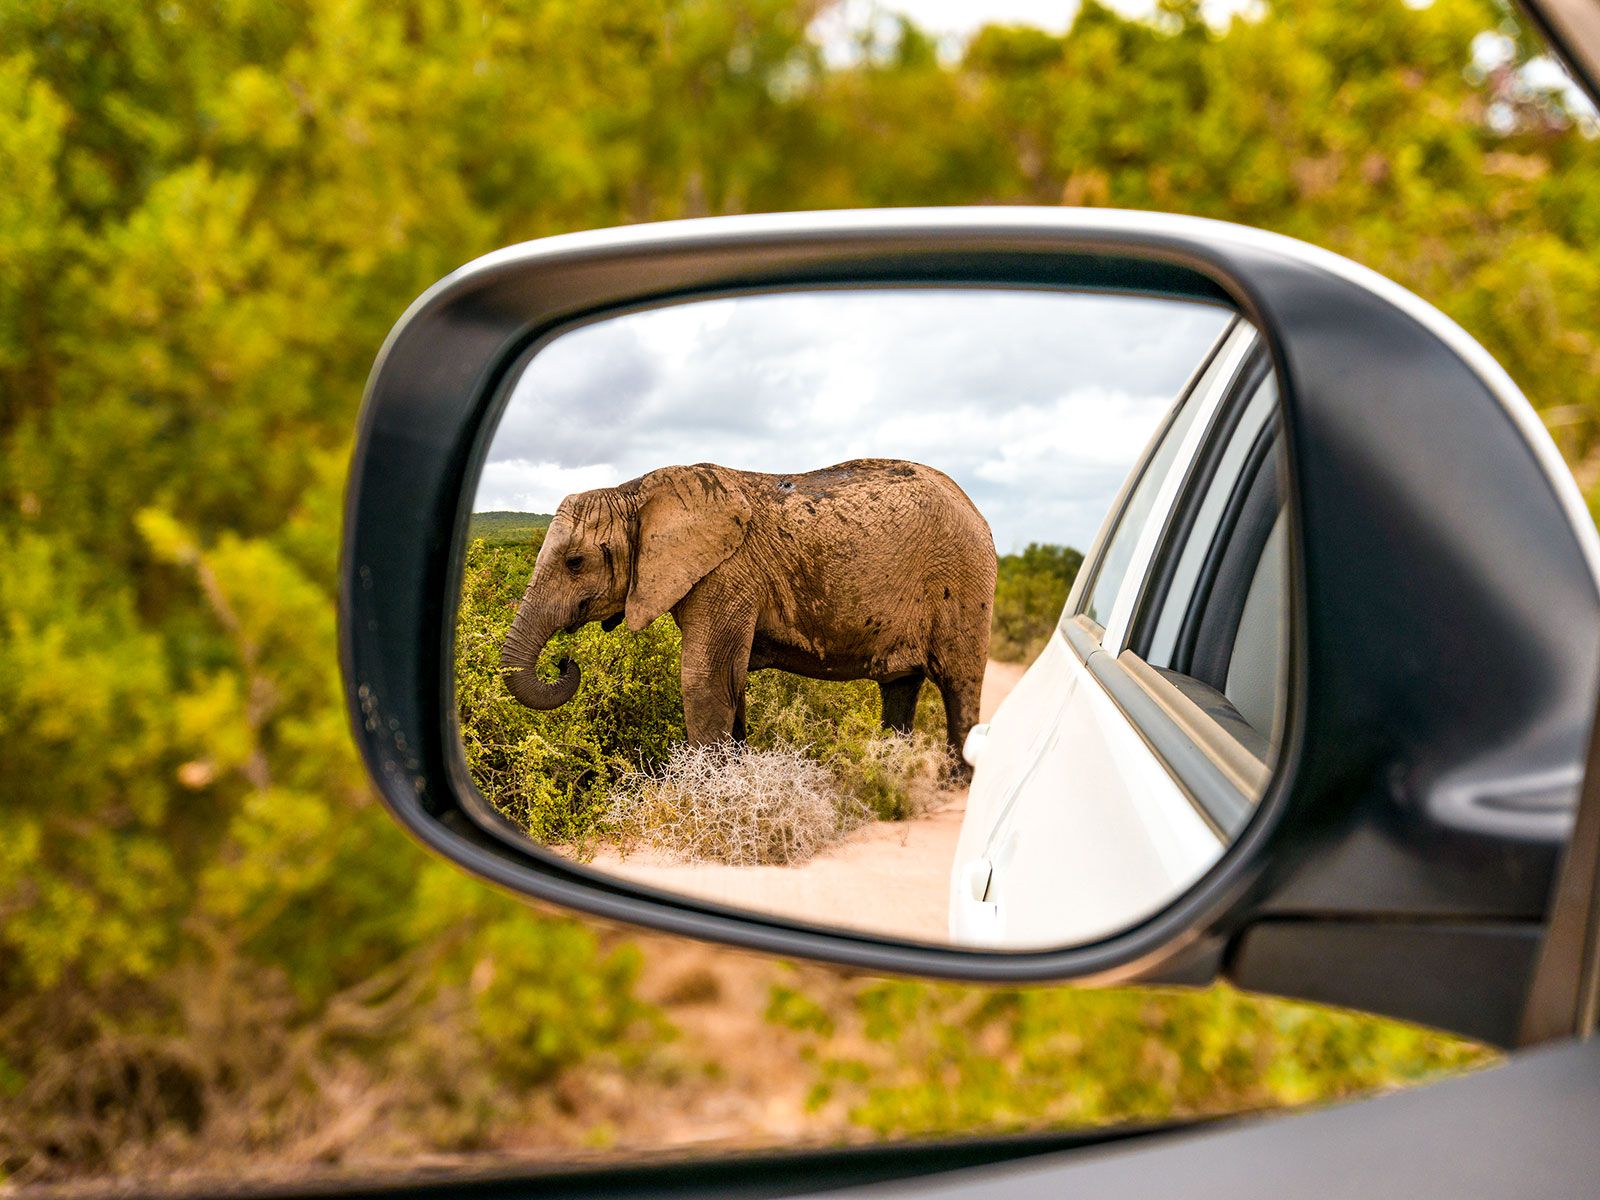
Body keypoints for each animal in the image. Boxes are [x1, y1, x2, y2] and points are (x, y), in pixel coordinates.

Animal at [499, 459, 998, 762]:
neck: (633, 492)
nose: (564, 661)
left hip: (964, 578)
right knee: (900, 688)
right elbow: (728, 683)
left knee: (960, 686)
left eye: (574, 562)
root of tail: (975, 507)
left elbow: (703, 679)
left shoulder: (727, 574)